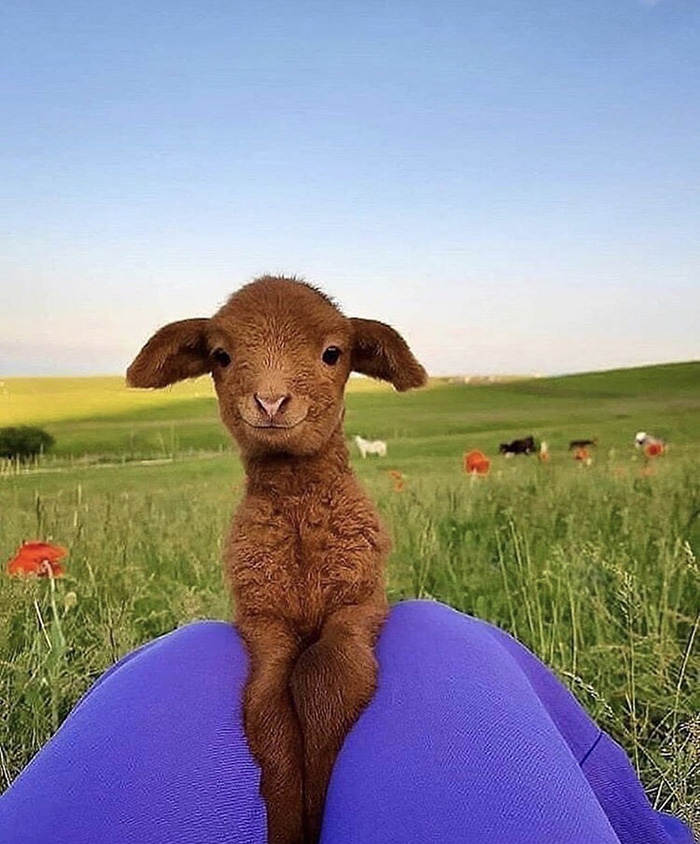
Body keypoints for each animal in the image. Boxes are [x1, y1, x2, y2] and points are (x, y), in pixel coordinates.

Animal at [126, 275, 427, 844]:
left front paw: (322, 801)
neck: (299, 518)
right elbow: (266, 706)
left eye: (333, 353)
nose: (269, 400)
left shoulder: (360, 603)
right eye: (221, 356)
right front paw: (289, 818)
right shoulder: (261, 620)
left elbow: (328, 676)